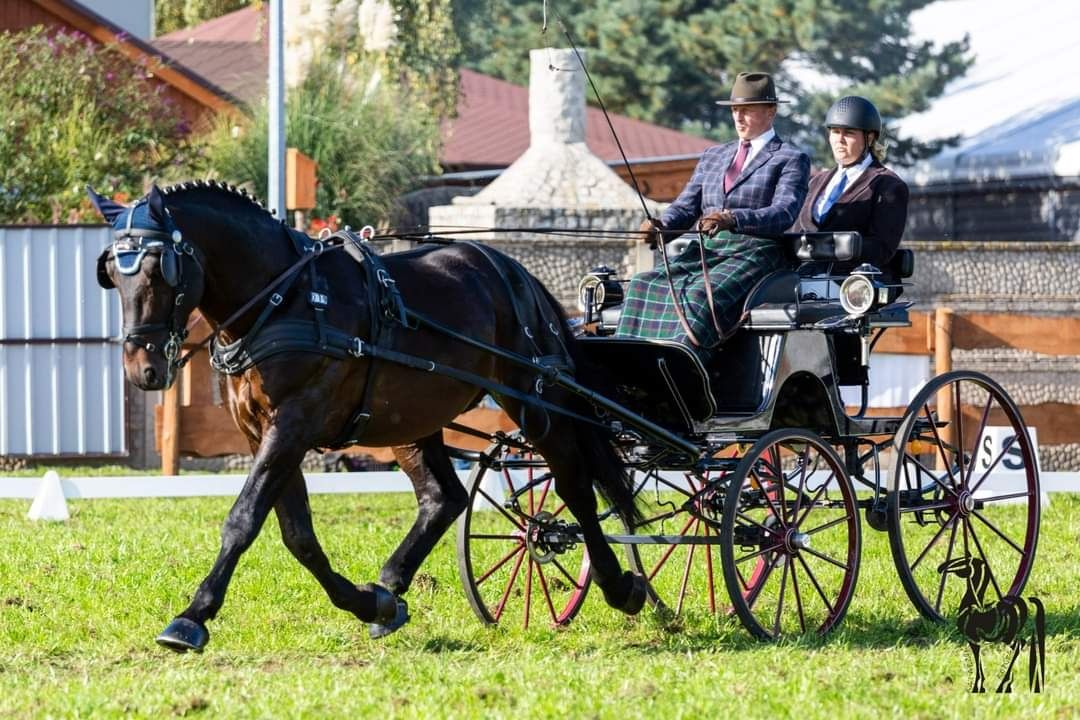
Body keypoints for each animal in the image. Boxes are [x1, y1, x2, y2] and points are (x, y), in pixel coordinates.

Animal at [88, 181, 643, 651]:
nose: (143, 368)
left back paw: (620, 584)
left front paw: (192, 616)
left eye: (160, 269)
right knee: (444, 498)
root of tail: (514, 271)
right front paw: (365, 602)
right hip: (412, 419)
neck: (282, 300)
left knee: (574, 482)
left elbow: (244, 519)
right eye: (112, 274)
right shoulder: (261, 432)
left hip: (535, 401)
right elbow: (298, 534)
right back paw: (390, 589)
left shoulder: (293, 424)